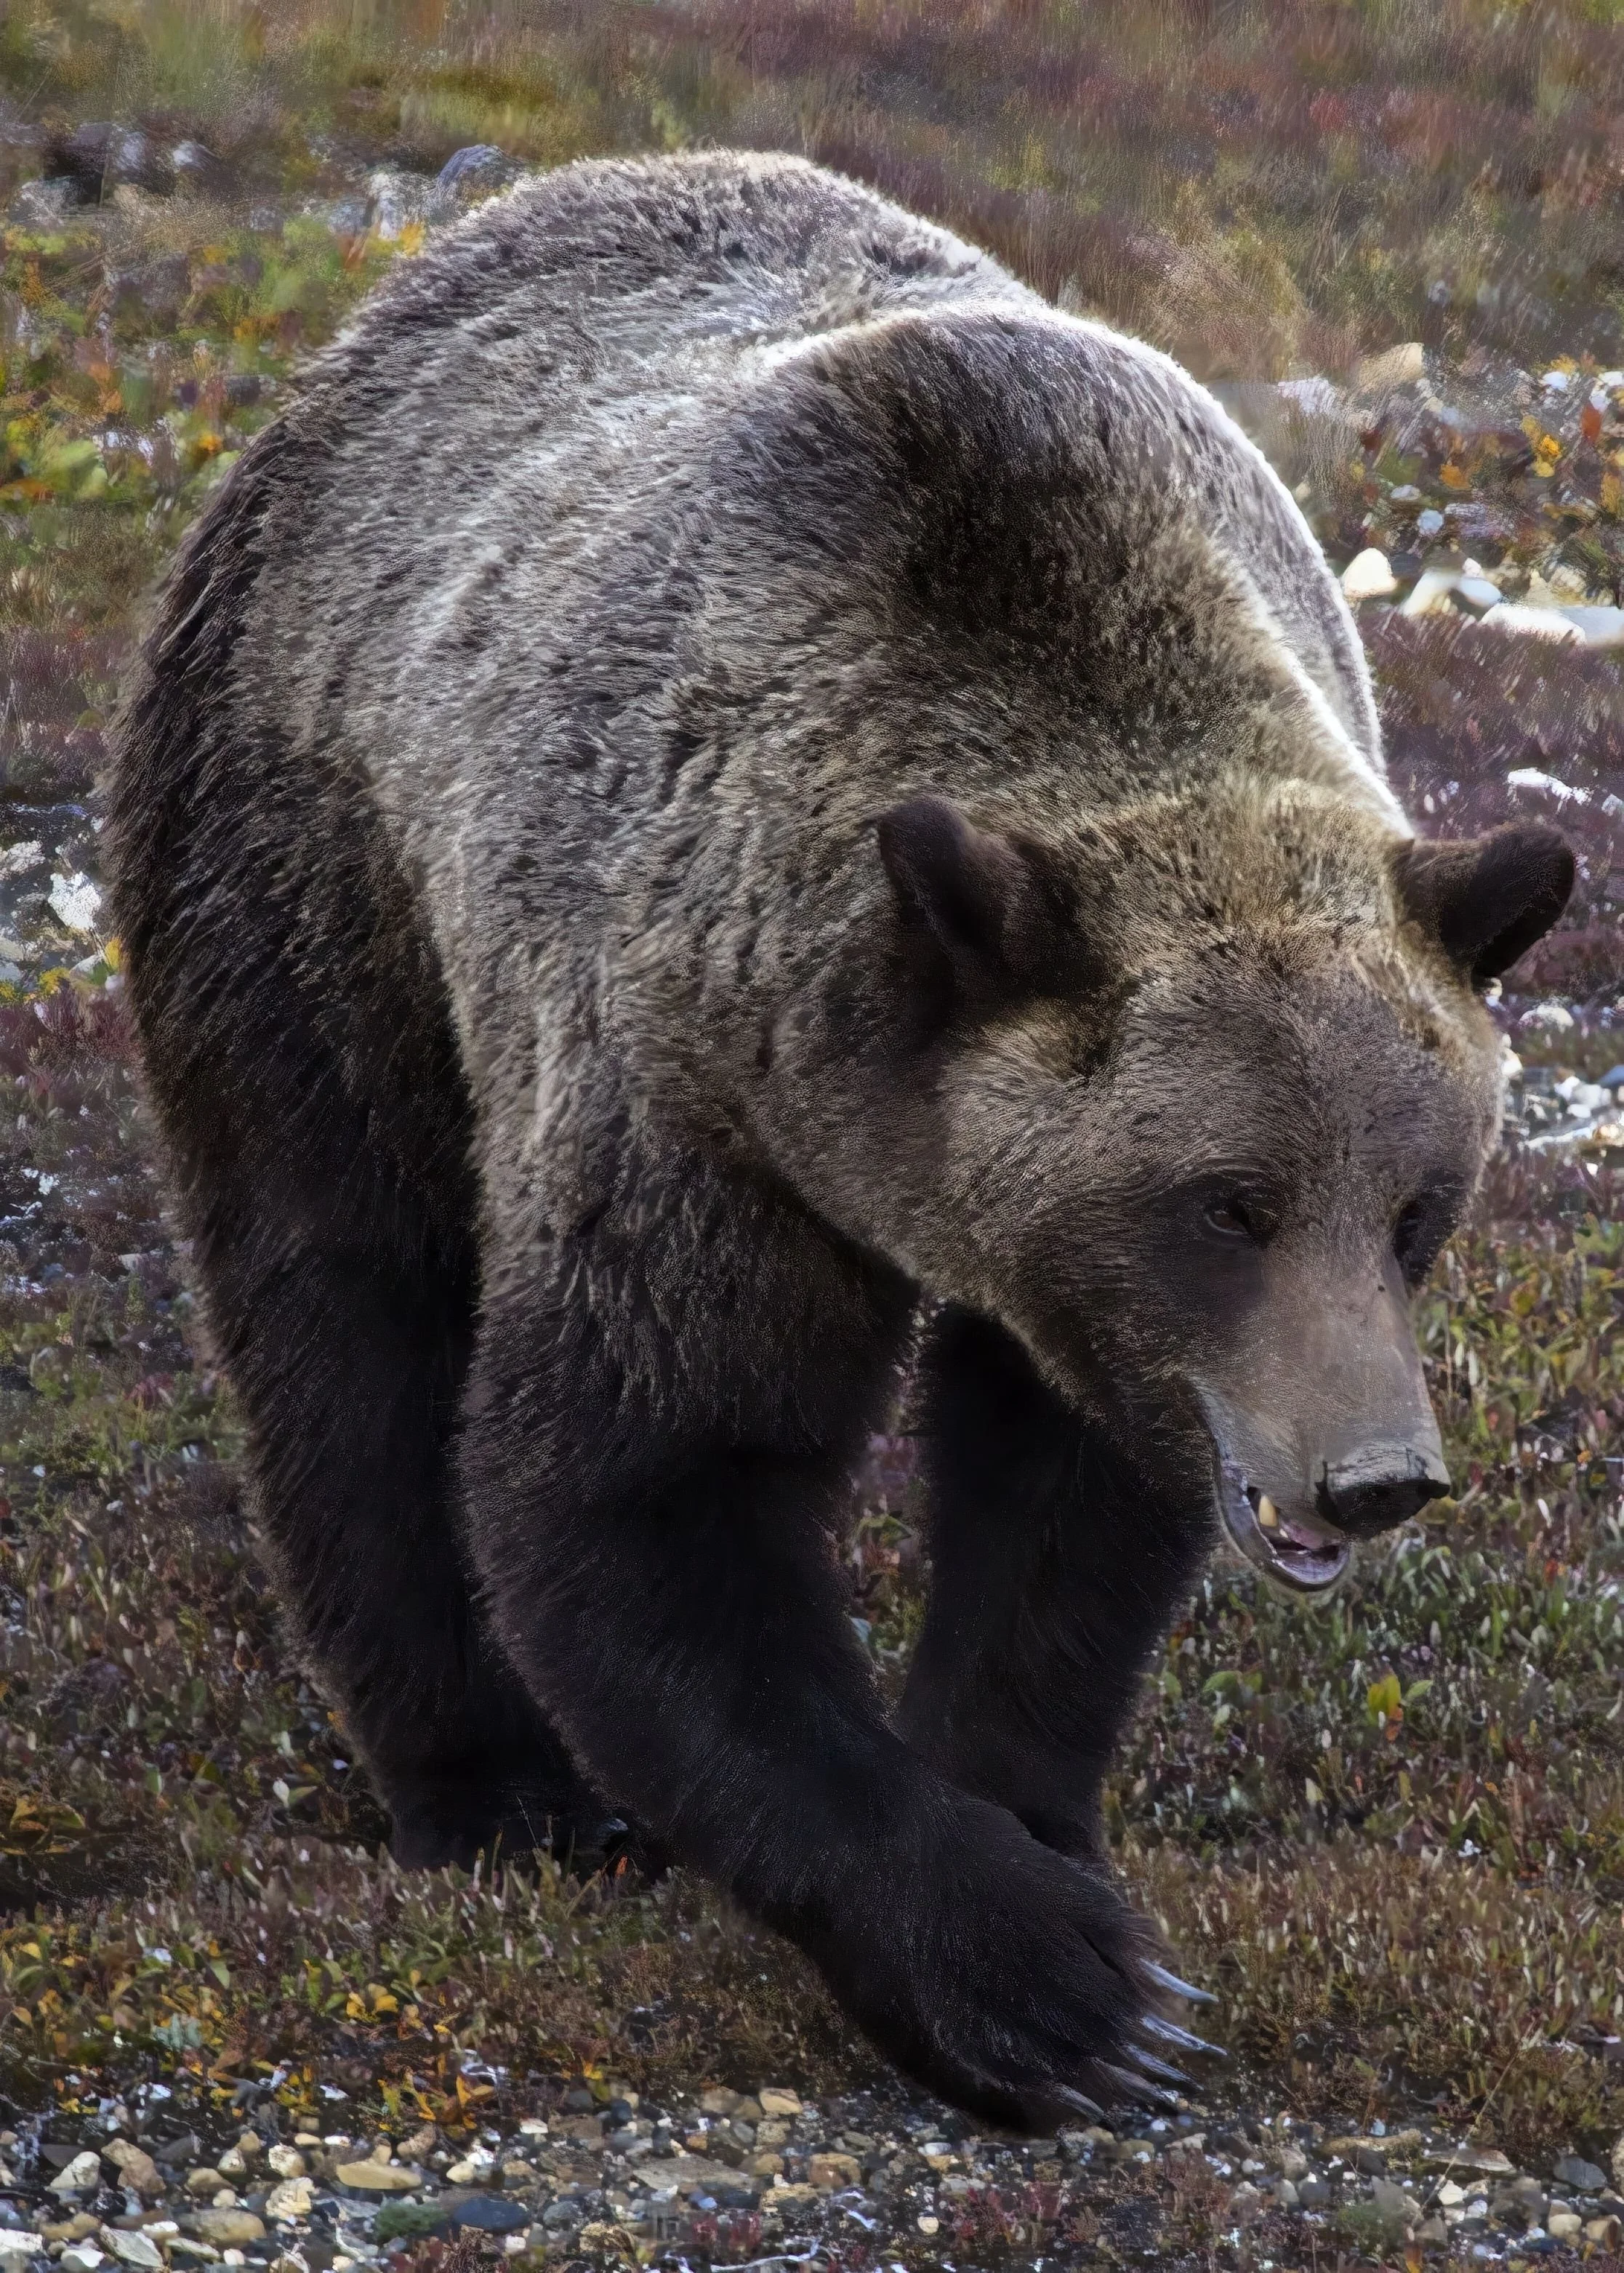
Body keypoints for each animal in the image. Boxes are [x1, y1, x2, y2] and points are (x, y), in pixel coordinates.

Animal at [108, 150, 1573, 2127]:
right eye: (1231, 1200)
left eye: (1418, 1204)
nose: (1372, 1474)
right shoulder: (690, 1097)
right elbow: (650, 1477)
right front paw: (1052, 1989)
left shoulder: (1093, 1308)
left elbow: (1063, 1513)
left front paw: (1039, 1850)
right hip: (305, 868)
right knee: (340, 1311)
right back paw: (492, 1789)